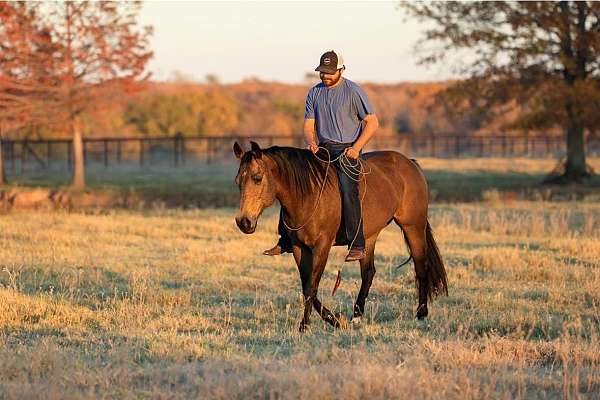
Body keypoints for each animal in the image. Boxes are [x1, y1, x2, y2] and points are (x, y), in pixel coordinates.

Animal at [232, 141, 448, 332]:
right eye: (238, 182)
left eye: (257, 177)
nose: (244, 222)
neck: (308, 195)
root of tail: (411, 164)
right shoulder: (298, 247)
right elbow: (306, 286)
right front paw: (335, 321)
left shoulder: (322, 246)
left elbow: (311, 286)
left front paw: (305, 326)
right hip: (368, 237)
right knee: (368, 273)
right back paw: (357, 316)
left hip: (413, 227)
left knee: (421, 267)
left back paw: (421, 313)